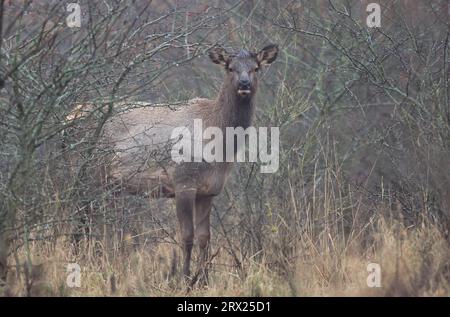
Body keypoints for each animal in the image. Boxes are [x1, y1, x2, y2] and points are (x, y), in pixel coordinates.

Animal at [67, 43, 278, 284]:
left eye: (256, 68)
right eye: (230, 68)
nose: (244, 84)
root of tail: (69, 117)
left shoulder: (208, 191)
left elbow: (205, 237)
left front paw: (204, 280)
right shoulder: (182, 181)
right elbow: (187, 236)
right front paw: (184, 278)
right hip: (85, 171)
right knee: (78, 216)